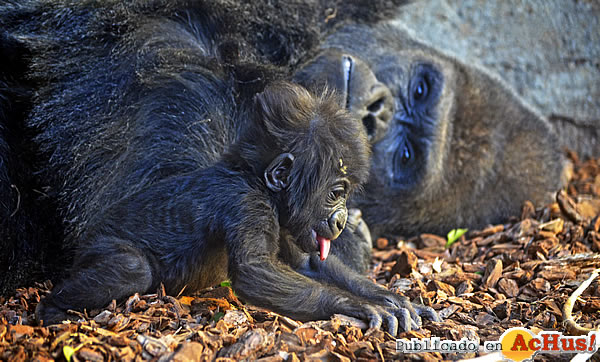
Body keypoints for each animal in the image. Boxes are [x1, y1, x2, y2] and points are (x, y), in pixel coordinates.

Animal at [35, 83, 436, 336]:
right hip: (97, 244)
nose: (340, 219)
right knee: (131, 268)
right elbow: (256, 271)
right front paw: (359, 307)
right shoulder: (248, 205)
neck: (256, 180)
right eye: (336, 192)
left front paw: (392, 299)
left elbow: (309, 263)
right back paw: (52, 307)